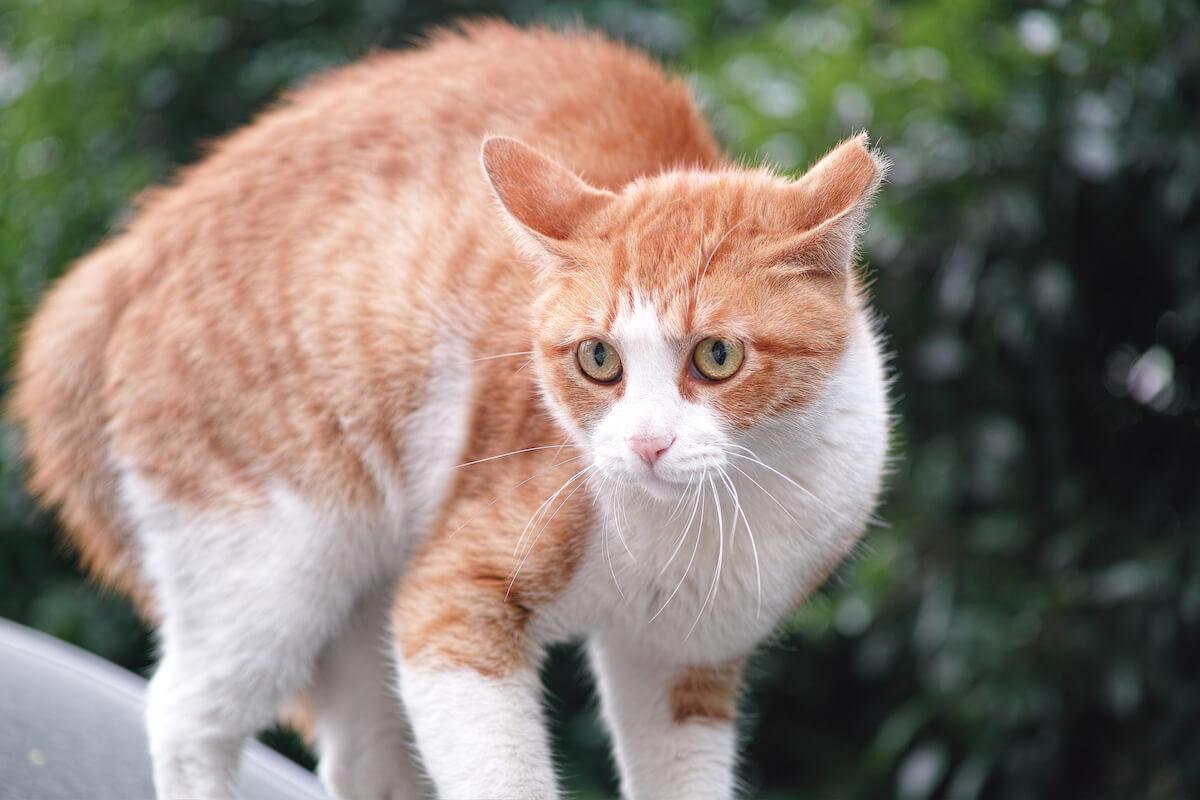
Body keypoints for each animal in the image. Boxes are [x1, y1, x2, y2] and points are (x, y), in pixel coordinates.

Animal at [11, 17, 892, 800]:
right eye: (598, 360)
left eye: (716, 357)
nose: (645, 444)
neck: (697, 524)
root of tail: (127, 254)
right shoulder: (451, 604)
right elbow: (500, 773)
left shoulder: (679, 665)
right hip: (274, 557)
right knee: (187, 715)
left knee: (362, 757)